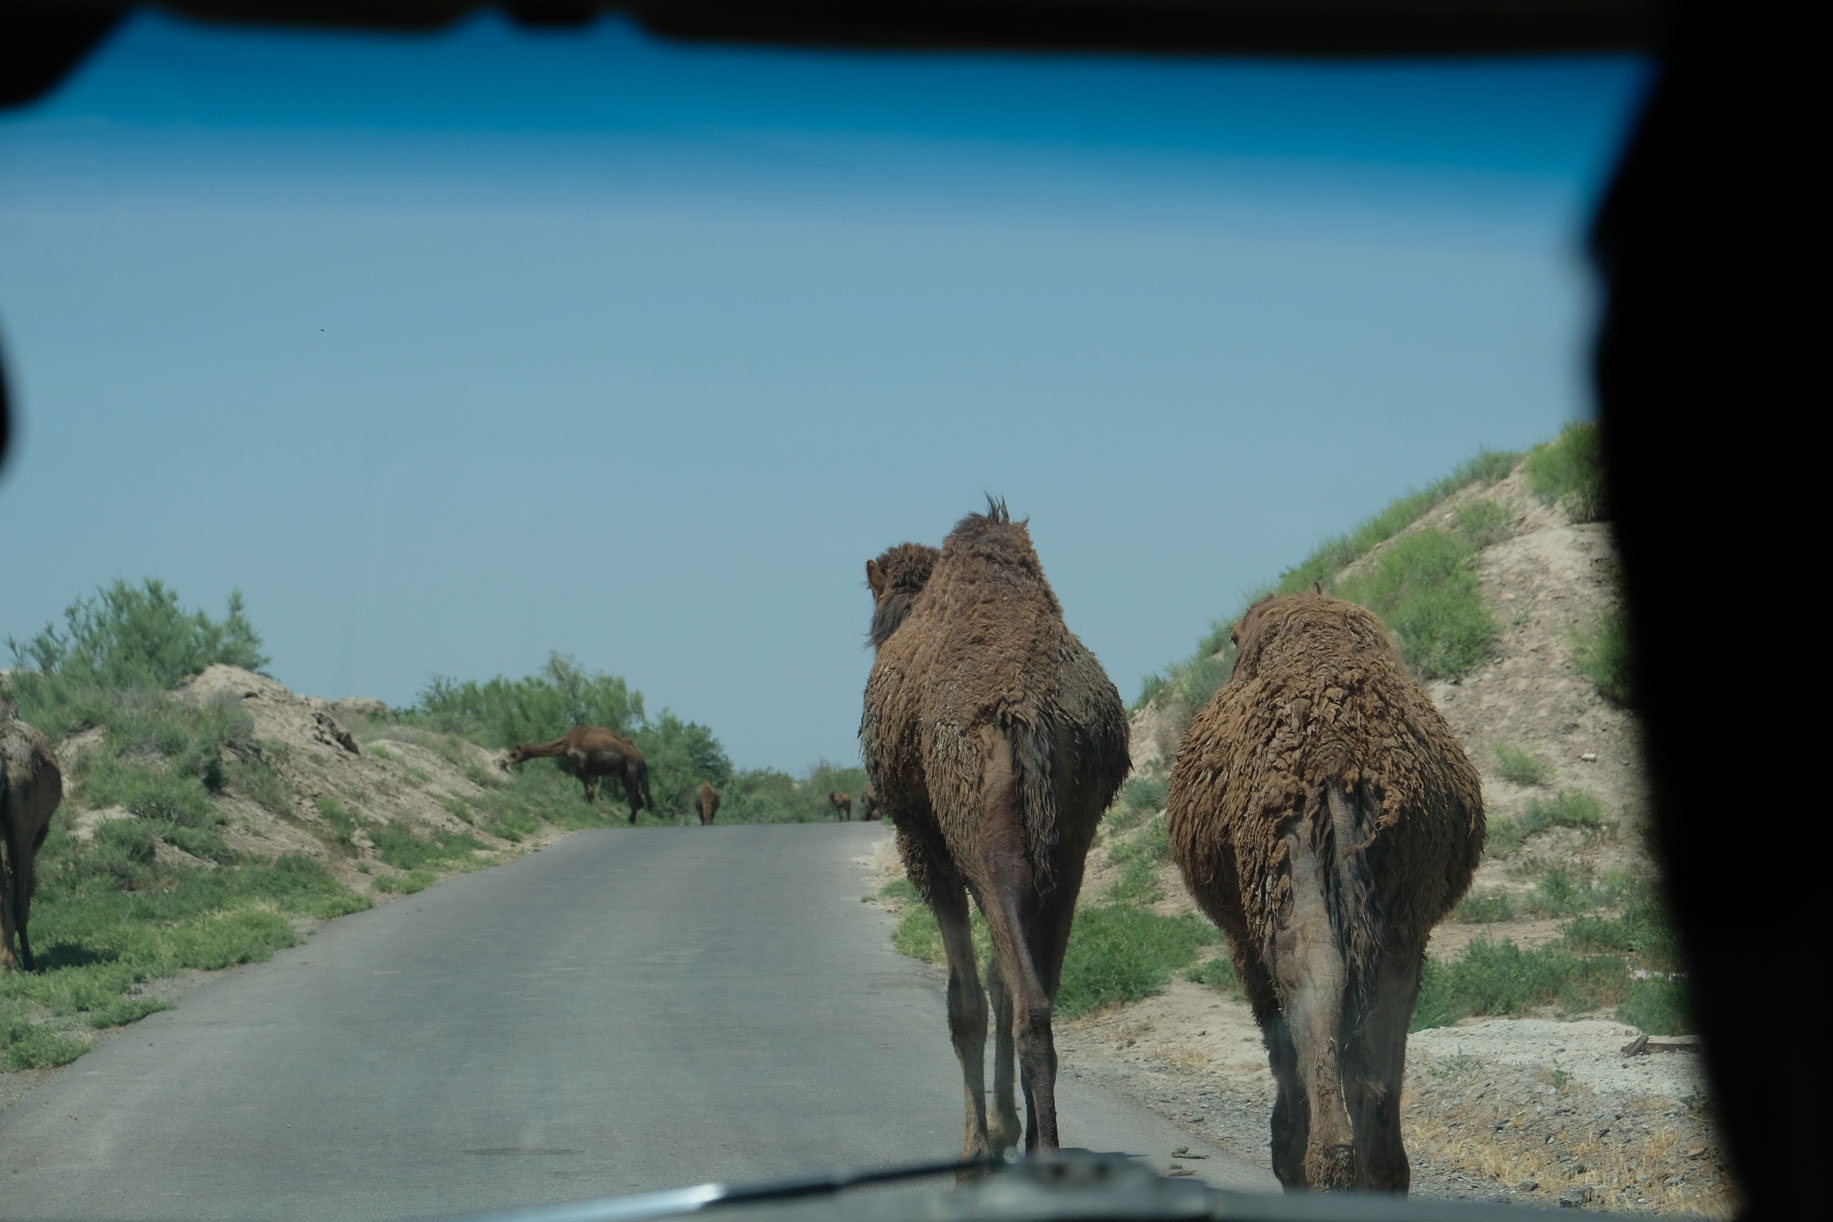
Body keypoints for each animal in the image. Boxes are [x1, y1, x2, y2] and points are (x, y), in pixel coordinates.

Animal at [494, 732, 652, 828]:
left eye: (514, 753)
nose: (504, 761)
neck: (566, 743)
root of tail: (640, 756)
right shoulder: (583, 767)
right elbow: (588, 787)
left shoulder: (581, 763)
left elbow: (587, 787)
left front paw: (592, 807)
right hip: (624, 773)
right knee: (637, 796)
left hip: (631, 770)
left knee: (634, 793)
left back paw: (631, 820)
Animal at [861, 498, 1129, 1165]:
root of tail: (1029, 713)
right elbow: (994, 982)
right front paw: (1005, 1128)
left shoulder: (925, 843)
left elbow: (965, 1003)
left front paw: (976, 1147)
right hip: (1069, 849)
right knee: (1037, 990)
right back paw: (1037, 1144)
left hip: (982, 842)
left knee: (1022, 1001)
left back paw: (1032, 1153)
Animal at [1173, 593, 1488, 1194]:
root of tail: (1335, 757)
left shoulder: (1243, 941)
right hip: (1400, 918)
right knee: (1377, 1036)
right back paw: (1380, 1173)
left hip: (1285, 887)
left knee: (1310, 993)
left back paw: (1314, 1165)